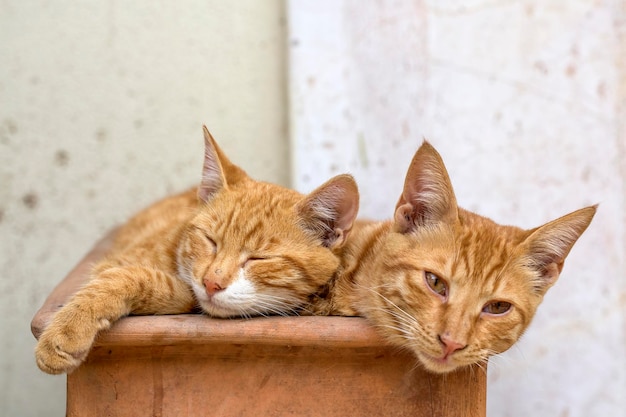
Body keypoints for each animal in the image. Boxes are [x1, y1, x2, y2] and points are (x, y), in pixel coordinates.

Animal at [36, 127, 358, 374]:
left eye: (258, 259)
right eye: (210, 240)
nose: (211, 283)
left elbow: (143, 279)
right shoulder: (116, 263)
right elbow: (118, 279)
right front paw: (69, 327)